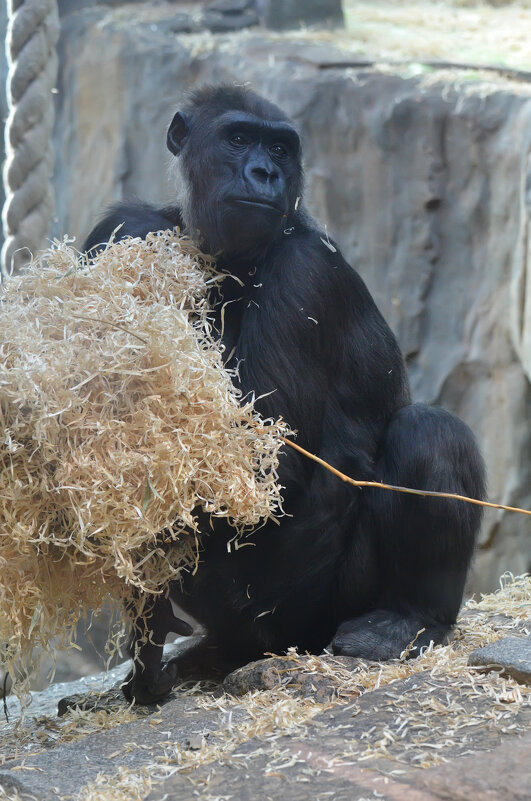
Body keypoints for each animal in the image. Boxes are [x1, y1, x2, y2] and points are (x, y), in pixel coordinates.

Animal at [83, 84, 486, 704]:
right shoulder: (121, 230)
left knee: (432, 430)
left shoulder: (306, 272)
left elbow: (266, 463)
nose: (265, 172)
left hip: (310, 616)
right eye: (238, 138)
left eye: (279, 147)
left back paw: (410, 618)